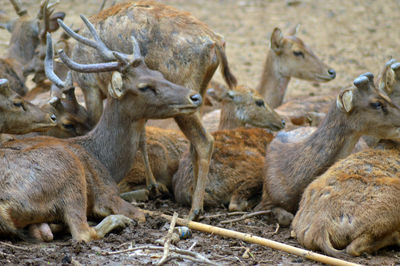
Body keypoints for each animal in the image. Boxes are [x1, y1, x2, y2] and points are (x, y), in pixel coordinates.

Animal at [0, 27, 203, 243]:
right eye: (144, 86)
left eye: (158, 73)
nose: (195, 97)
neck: (108, 163)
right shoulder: (107, 192)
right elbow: (139, 214)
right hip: (68, 170)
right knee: (82, 232)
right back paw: (118, 220)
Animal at [56, 0, 238, 220]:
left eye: (65, 124)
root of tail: (216, 42)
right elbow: (142, 136)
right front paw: (152, 185)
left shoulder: (91, 87)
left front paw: (151, 185)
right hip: (200, 92)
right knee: (195, 143)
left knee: (205, 141)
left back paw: (195, 209)